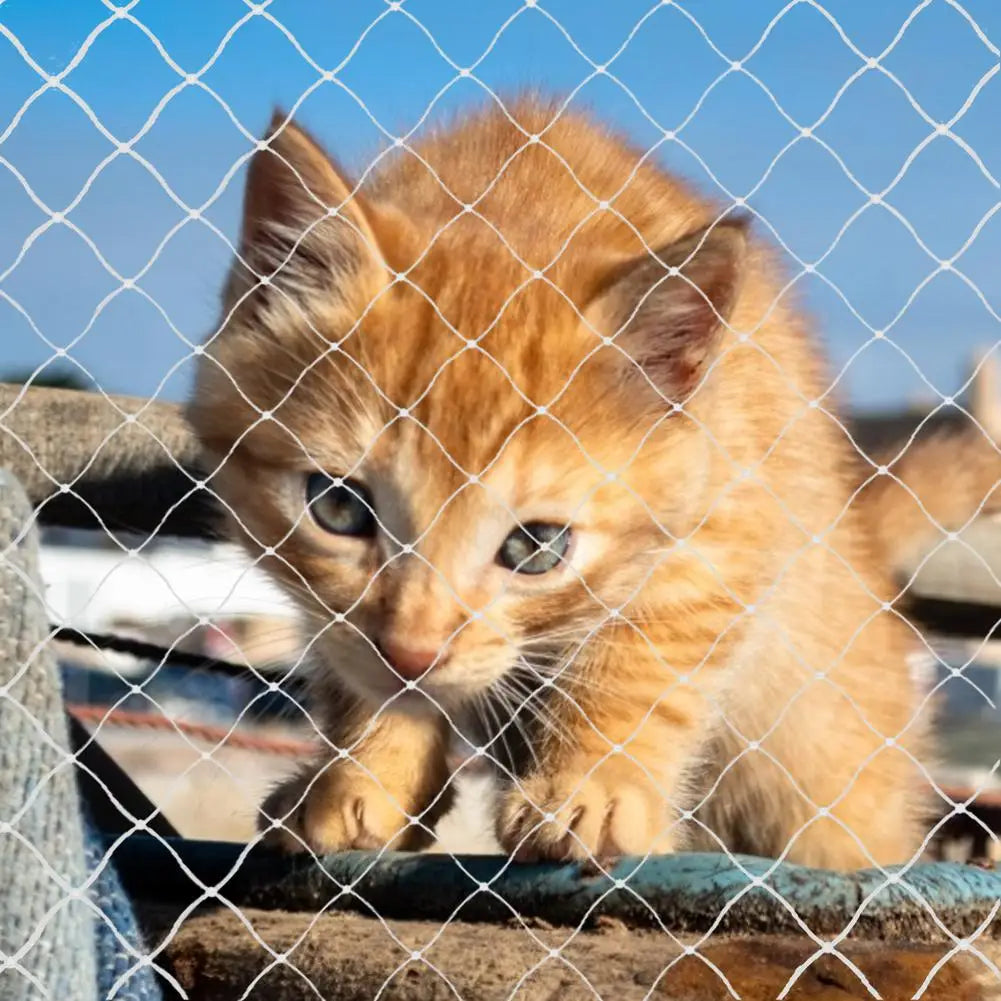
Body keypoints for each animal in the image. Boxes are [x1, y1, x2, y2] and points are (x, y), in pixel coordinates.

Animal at [184, 97, 940, 872]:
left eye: (536, 547)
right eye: (338, 507)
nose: (412, 654)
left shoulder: (727, 524)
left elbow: (641, 656)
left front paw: (592, 787)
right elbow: (349, 662)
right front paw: (362, 775)